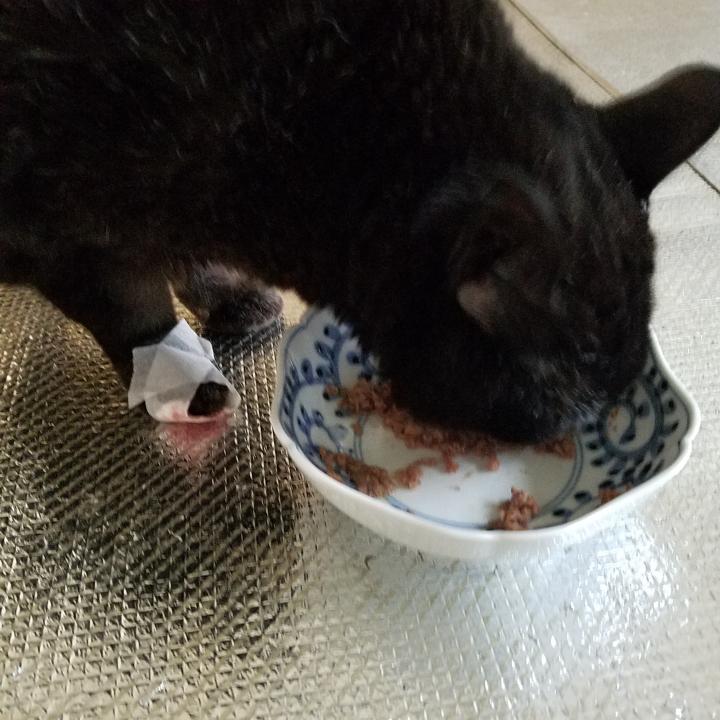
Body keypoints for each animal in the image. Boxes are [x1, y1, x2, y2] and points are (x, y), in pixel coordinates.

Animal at [1, 0, 719, 441]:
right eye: (551, 414)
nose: (576, 436)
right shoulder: (64, 225)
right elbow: (132, 304)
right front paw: (175, 374)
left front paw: (225, 293)